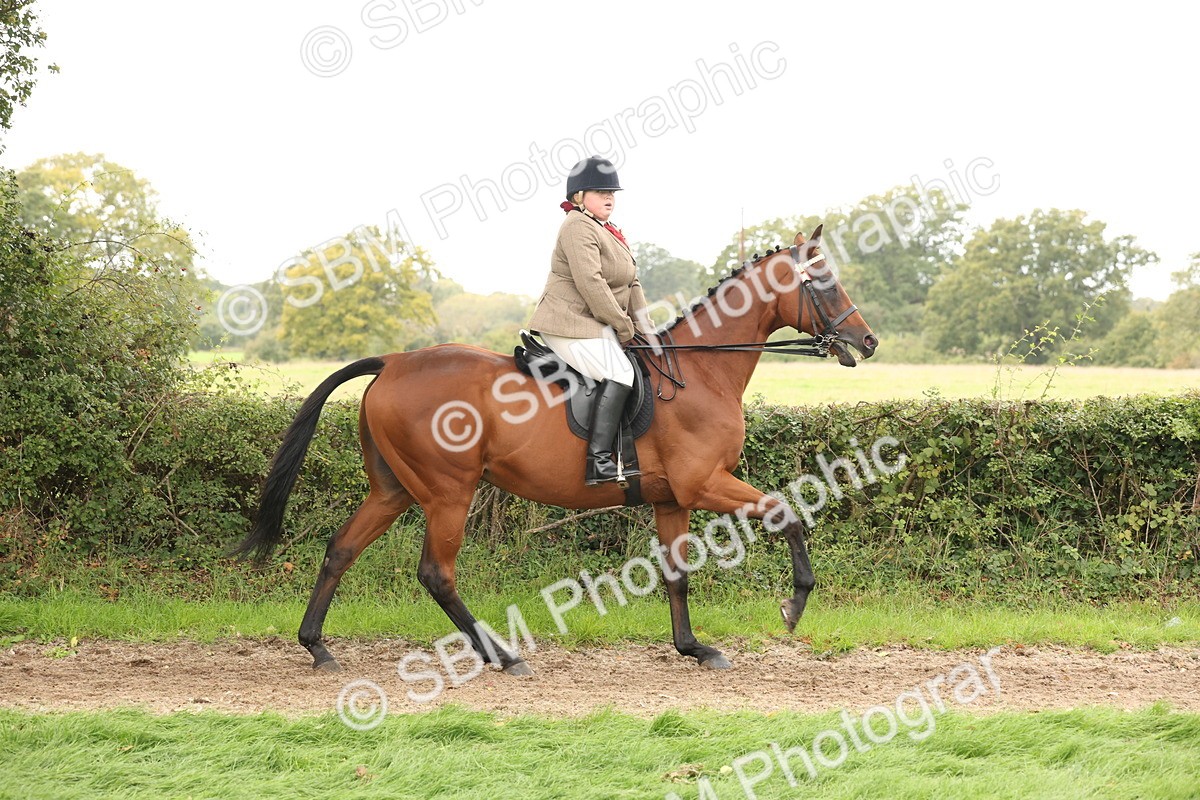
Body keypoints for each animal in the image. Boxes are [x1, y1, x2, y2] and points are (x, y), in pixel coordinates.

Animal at [231, 226, 877, 674]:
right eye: (822, 281)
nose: (866, 341)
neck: (699, 373)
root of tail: (392, 362)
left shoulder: (672, 498)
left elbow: (676, 575)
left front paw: (694, 648)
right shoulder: (704, 483)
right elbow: (785, 513)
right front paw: (794, 606)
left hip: (393, 489)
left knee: (341, 550)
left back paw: (317, 648)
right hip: (448, 492)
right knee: (437, 573)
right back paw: (502, 655)